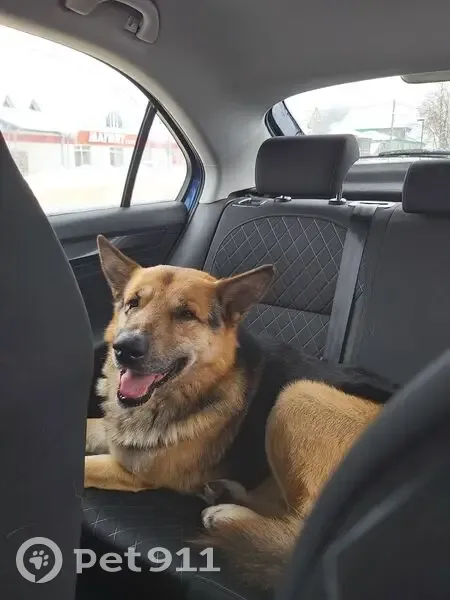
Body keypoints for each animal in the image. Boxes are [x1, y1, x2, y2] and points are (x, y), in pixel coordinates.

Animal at [85, 235, 397, 588]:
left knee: (301, 526)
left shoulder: (137, 472)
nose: (124, 348)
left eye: (185, 314)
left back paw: (229, 516)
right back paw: (226, 493)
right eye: (133, 303)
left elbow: (84, 468)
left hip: (297, 394)